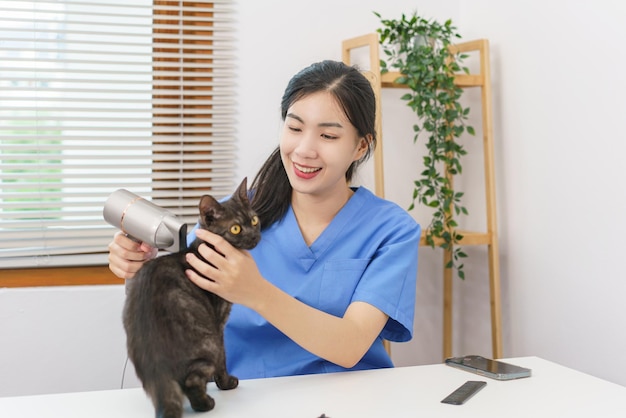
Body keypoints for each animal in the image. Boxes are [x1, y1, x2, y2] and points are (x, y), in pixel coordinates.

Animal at [123, 178, 260, 418]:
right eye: (235, 228)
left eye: (254, 220)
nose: (254, 236)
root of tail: (158, 370)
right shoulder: (219, 322)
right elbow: (224, 360)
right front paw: (226, 383)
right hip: (209, 344)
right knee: (192, 380)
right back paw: (206, 404)